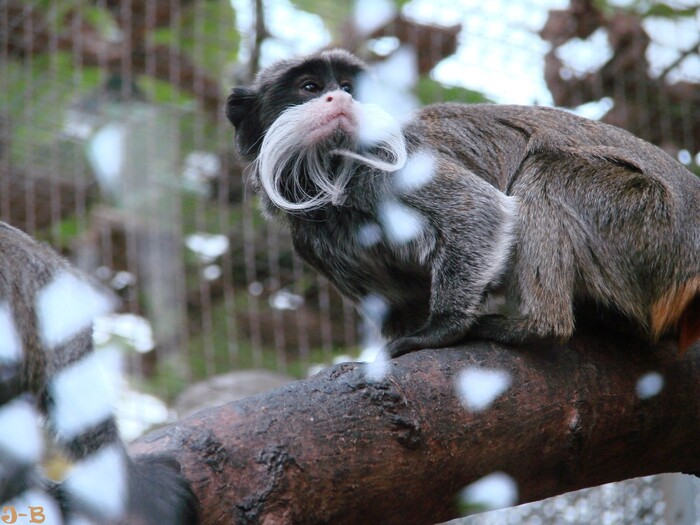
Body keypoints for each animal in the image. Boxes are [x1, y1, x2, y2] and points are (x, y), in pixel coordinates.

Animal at [227, 48, 700, 356]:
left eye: (348, 87)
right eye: (310, 87)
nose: (341, 98)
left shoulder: (386, 161)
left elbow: (479, 210)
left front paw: (442, 329)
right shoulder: (310, 242)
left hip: (649, 220)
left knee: (546, 172)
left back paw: (535, 328)